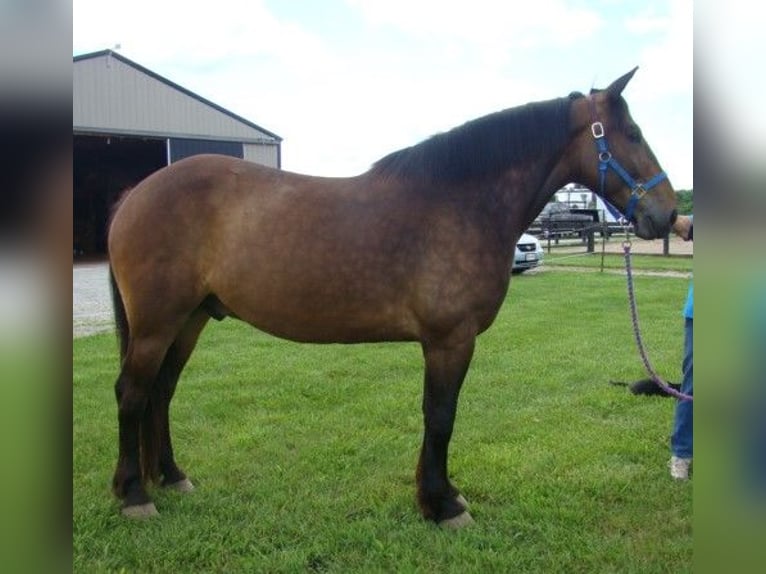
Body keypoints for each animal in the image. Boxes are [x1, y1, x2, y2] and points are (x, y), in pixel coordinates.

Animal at [106, 67, 680, 528]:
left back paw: (172, 476)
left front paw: (440, 496)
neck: (459, 202)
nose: (669, 214)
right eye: (632, 133)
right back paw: (134, 495)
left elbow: (437, 417)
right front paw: (443, 506)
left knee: (161, 393)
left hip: (190, 320)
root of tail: (135, 194)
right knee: (132, 394)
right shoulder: (450, 340)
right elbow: (441, 416)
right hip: (157, 324)